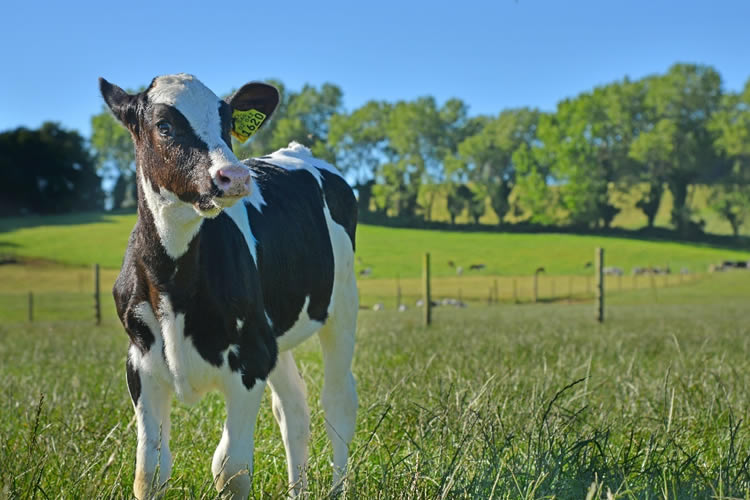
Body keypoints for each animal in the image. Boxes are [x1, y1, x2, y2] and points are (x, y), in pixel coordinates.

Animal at [101, 72, 360, 498]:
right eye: (164, 125)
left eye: (226, 122)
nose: (235, 176)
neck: (172, 283)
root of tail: (299, 151)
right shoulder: (140, 363)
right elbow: (148, 472)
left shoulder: (250, 360)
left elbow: (230, 470)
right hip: (275, 334)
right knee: (294, 409)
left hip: (342, 305)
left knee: (338, 401)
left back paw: (338, 487)